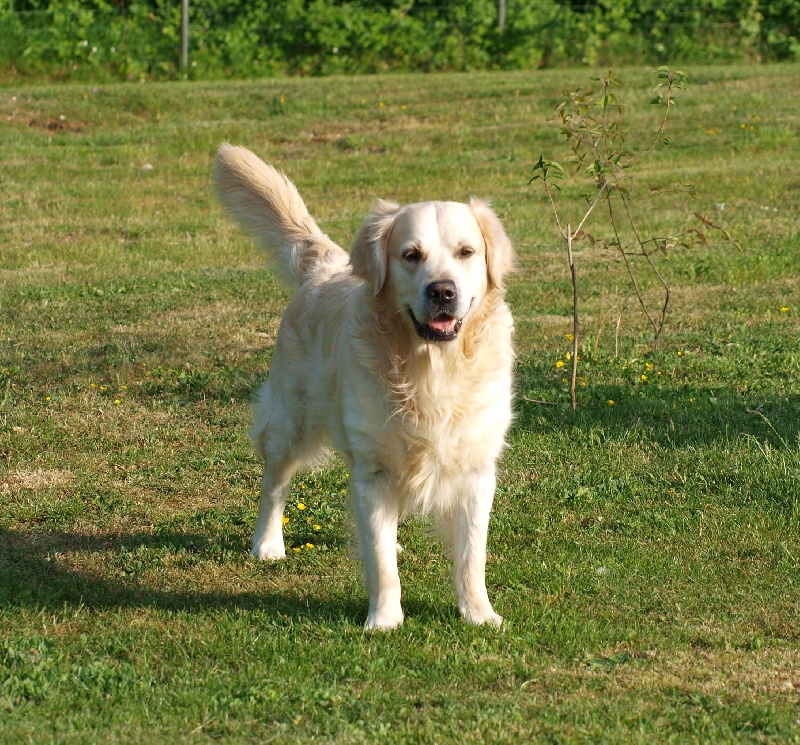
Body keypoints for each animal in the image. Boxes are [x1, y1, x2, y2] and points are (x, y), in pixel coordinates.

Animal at [214, 144, 512, 628]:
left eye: (466, 252)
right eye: (410, 255)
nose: (442, 291)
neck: (430, 370)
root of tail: (327, 266)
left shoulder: (475, 469)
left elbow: (471, 557)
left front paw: (480, 615)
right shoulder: (372, 470)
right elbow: (379, 560)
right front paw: (385, 620)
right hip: (290, 420)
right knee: (274, 483)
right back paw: (267, 544)